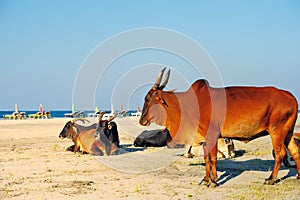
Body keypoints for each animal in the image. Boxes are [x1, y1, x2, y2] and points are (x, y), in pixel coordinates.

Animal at [139, 68, 298, 187]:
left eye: (147, 98)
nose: (141, 120)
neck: (188, 105)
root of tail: (290, 95)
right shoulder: (204, 139)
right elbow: (206, 158)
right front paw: (206, 179)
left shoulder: (212, 135)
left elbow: (213, 158)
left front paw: (214, 181)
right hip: (288, 133)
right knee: (295, 152)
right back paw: (297, 176)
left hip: (277, 132)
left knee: (280, 154)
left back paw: (271, 178)